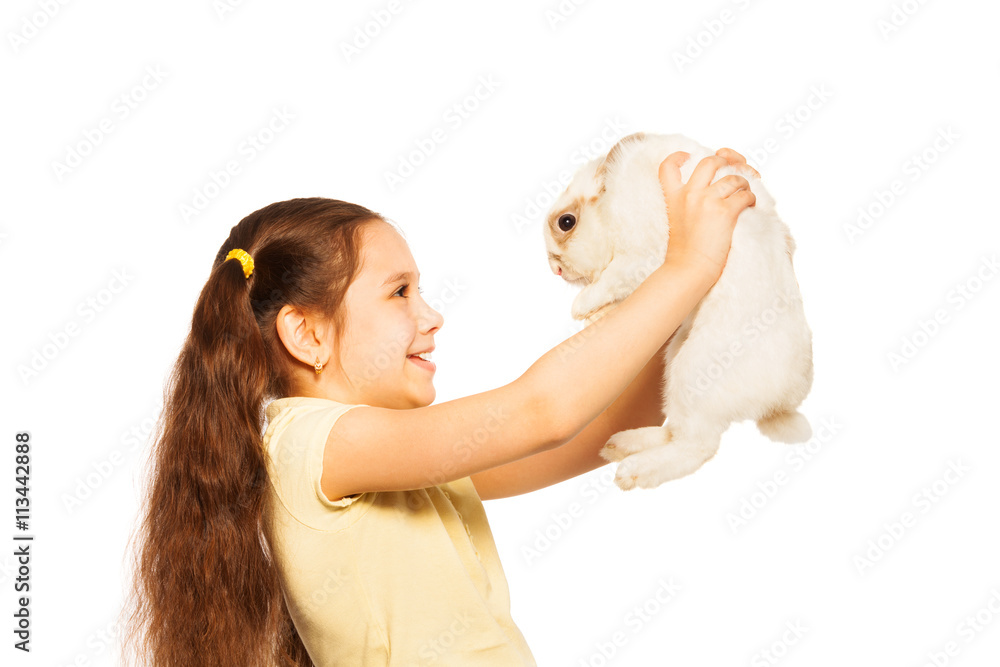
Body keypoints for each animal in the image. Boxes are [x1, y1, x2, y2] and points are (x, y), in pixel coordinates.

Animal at [548, 134, 812, 490]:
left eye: (566, 222)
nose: (556, 269)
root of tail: (779, 403)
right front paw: (595, 317)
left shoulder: (642, 255)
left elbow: (613, 280)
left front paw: (581, 308)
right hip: (675, 362)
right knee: (674, 431)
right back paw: (623, 444)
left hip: (692, 375)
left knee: (695, 446)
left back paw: (634, 470)